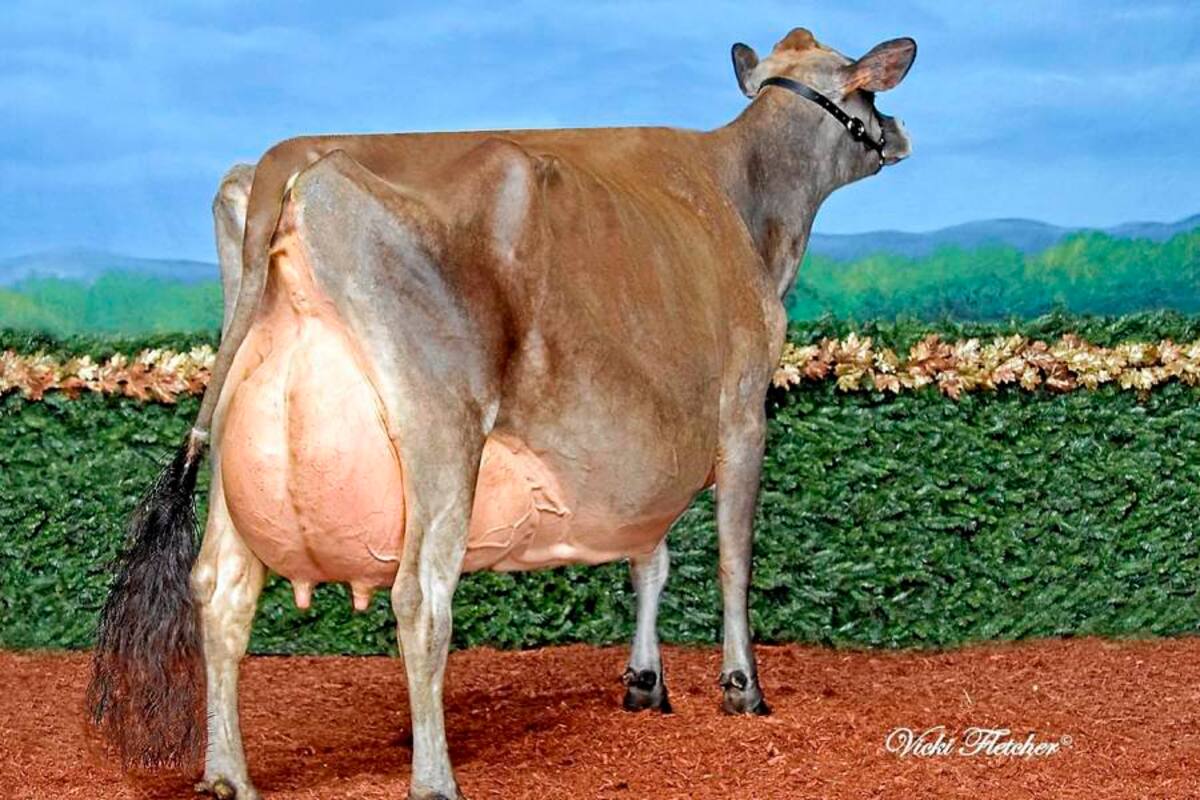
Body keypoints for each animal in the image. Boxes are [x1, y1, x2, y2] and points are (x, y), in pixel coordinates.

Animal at [87, 27, 916, 800]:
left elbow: (650, 557)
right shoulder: (743, 407)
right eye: (868, 90)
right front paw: (743, 688)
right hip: (443, 431)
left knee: (221, 587)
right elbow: (732, 557)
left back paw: (228, 773)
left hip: (238, 439)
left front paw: (645, 682)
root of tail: (293, 160)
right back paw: (434, 778)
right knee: (420, 597)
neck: (747, 203)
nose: (899, 132)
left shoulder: (649, 450)